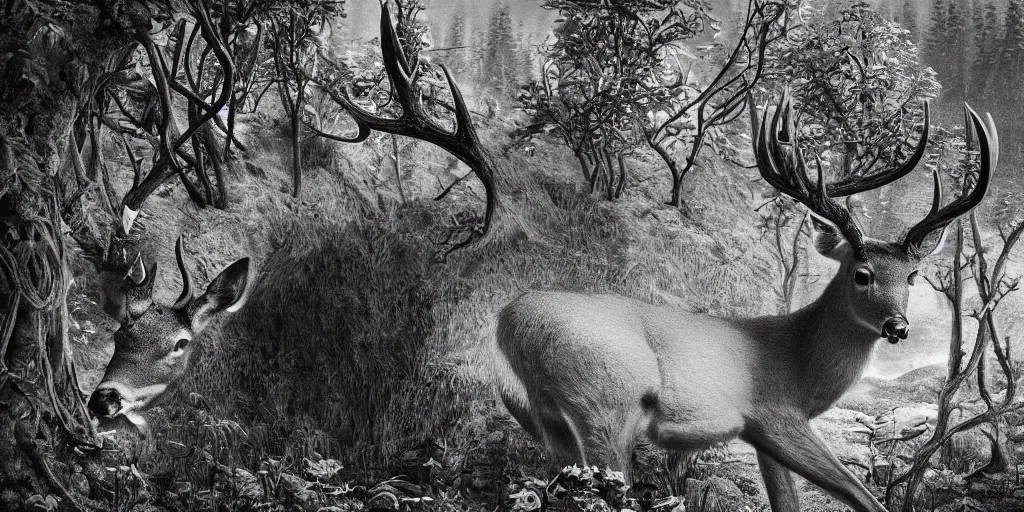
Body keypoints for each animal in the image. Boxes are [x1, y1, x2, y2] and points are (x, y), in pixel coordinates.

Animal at [491, 89, 995, 512]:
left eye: (912, 276)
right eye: (862, 274)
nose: (898, 327)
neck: (799, 359)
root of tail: (509, 323)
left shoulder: (762, 437)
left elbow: (788, 502)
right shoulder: (774, 415)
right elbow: (865, 498)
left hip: (543, 419)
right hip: (604, 404)